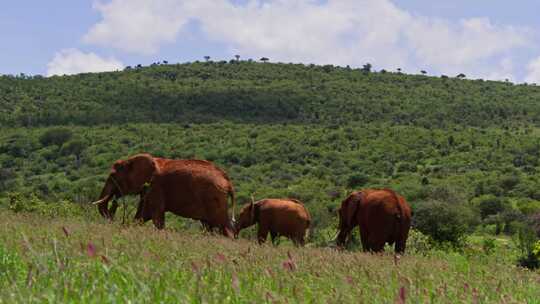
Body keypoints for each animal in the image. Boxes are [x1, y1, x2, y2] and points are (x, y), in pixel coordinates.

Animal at [91, 153, 236, 236]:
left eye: (113, 176)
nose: (114, 204)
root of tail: (228, 182)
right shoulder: (148, 190)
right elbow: (142, 215)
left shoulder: (156, 187)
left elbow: (155, 216)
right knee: (208, 225)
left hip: (215, 199)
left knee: (223, 226)